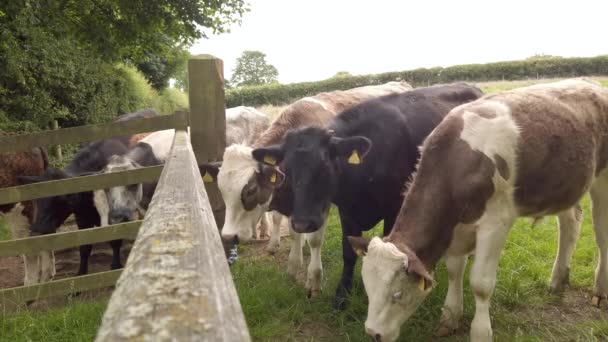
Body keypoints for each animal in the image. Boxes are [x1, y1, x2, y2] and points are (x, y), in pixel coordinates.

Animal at [15, 109, 159, 278]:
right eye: (37, 199)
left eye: (62, 198)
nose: (37, 229)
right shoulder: (82, 216)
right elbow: (84, 246)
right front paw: (81, 272)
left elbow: (114, 240)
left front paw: (115, 265)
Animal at [200, 81, 414, 296]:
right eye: (222, 191)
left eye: (251, 190)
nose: (229, 236)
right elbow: (294, 231)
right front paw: (294, 265)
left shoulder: (323, 203)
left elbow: (315, 240)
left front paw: (314, 279)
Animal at [252, 83, 484, 310]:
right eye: (288, 171)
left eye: (325, 166)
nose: (301, 223)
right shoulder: (347, 211)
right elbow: (348, 253)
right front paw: (342, 294)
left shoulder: (395, 207)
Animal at [346, 79, 608, 342]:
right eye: (368, 287)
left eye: (397, 294)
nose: (373, 333)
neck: (457, 162)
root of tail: (589, 83)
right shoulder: (456, 227)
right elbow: (454, 271)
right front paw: (450, 317)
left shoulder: (495, 223)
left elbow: (481, 283)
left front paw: (481, 331)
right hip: (566, 184)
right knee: (571, 222)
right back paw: (557, 280)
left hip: (602, 180)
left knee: (601, 234)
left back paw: (599, 290)